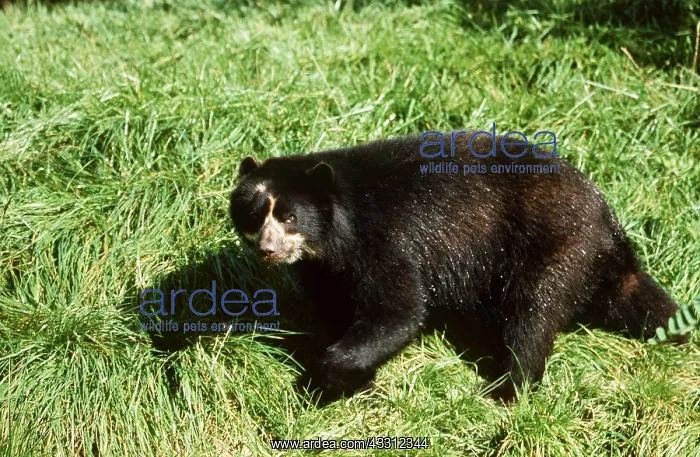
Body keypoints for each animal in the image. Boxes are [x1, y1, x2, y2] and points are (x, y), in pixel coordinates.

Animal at [228, 131, 681, 401]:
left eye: (290, 217)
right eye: (253, 213)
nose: (267, 250)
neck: (334, 237)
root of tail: (608, 222)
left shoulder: (385, 238)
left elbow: (397, 309)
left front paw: (326, 378)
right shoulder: (321, 269)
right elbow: (333, 307)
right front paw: (352, 375)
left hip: (554, 244)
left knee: (534, 311)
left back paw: (508, 388)